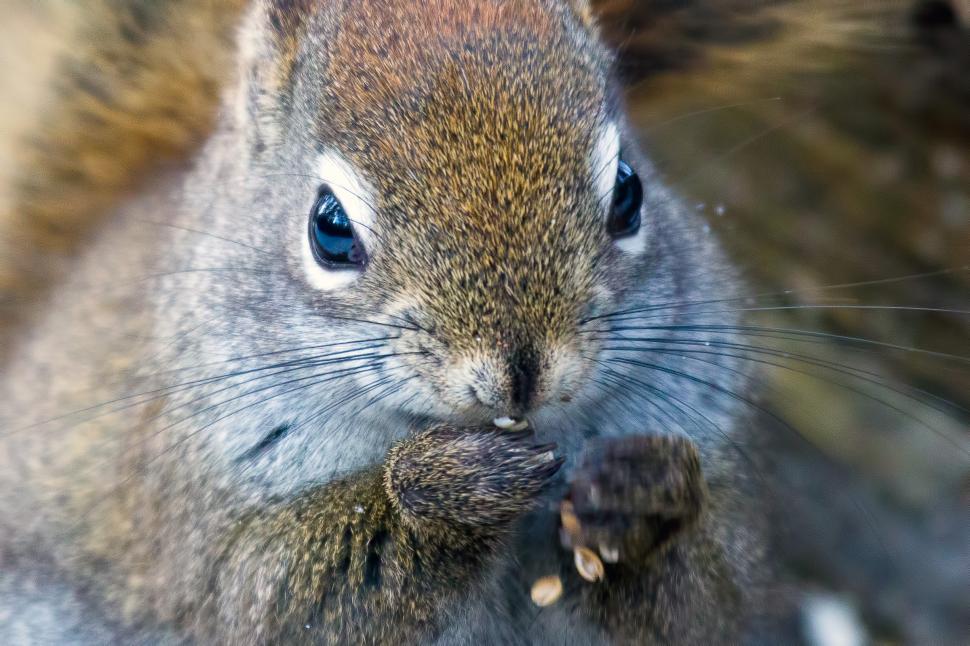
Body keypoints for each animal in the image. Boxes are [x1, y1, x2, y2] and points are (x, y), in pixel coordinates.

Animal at [0, 1, 769, 643]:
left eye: (630, 194)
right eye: (329, 228)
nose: (521, 374)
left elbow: (707, 601)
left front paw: (643, 495)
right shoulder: (188, 504)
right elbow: (273, 595)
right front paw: (444, 492)